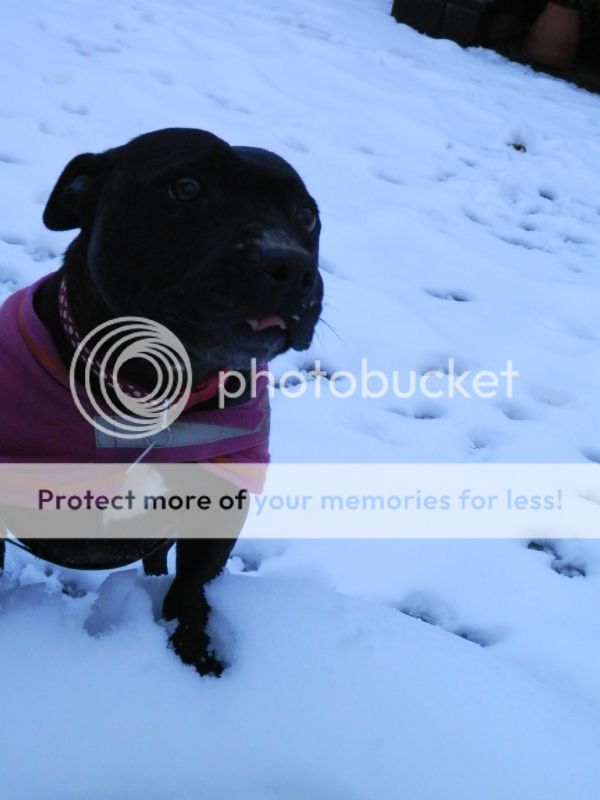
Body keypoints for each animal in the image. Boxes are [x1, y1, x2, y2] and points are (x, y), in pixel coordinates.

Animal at [0, 130, 322, 676]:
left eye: (307, 216)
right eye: (186, 187)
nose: (292, 264)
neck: (154, 388)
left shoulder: (218, 502)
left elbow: (190, 586)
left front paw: (196, 652)